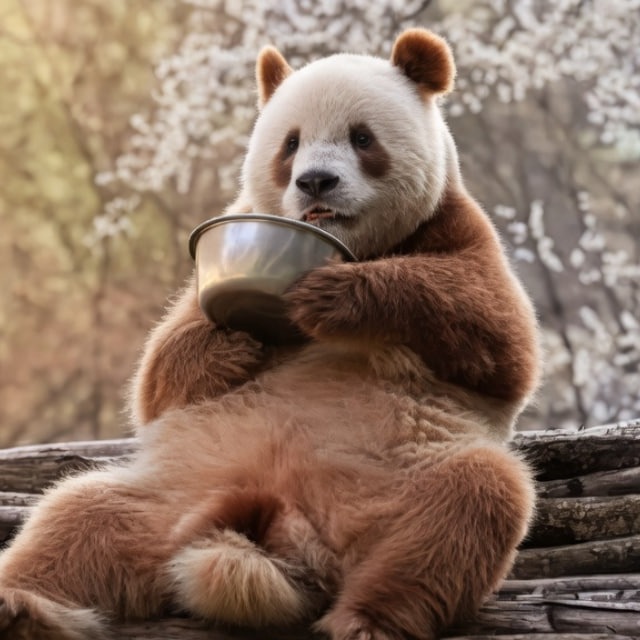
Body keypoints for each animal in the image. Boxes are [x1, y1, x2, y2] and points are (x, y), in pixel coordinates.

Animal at [0, 29, 540, 640]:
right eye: (290, 144)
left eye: (361, 138)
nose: (315, 181)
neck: (360, 245)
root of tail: (286, 532)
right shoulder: (218, 249)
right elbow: (157, 382)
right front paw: (235, 343)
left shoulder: (453, 228)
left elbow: (499, 336)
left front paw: (336, 298)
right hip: (177, 489)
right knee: (79, 519)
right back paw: (24, 606)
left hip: (398, 483)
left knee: (467, 509)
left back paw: (365, 619)